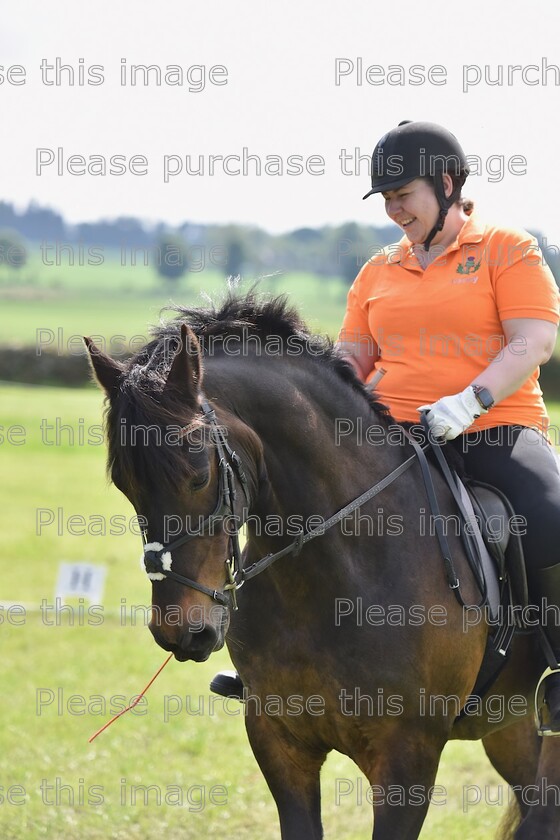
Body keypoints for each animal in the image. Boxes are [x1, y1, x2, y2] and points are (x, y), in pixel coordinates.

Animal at [84, 292, 560, 836]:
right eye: (125, 483)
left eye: (199, 473)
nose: (182, 632)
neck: (331, 579)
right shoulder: (280, 742)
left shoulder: (408, 759)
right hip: (512, 725)